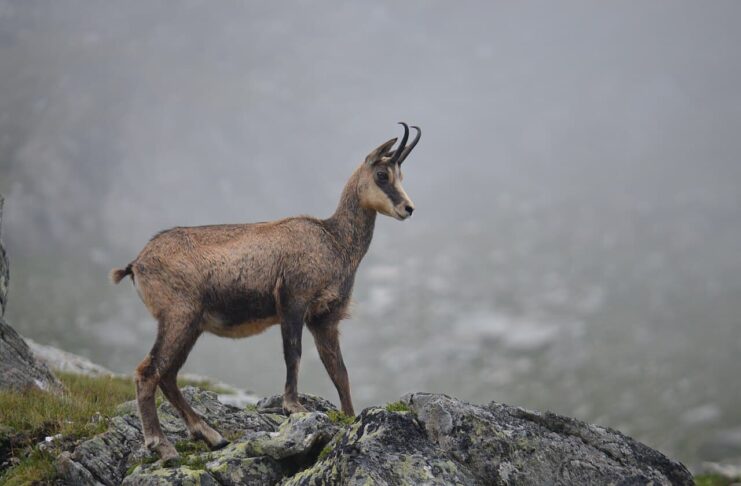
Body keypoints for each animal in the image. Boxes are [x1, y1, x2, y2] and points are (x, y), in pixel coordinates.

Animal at [110, 123, 420, 461]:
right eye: (382, 174)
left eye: (401, 175)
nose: (408, 208)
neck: (333, 240)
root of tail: (137, 263)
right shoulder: (293, 300)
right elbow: (293, 352)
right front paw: (293, 406)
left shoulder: (324, 318)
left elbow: (339, 370)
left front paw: (351, 418)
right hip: (179, 316)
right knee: (148, 371)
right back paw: (163, 445)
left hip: (190, 325)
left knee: (167, 375)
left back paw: (211, 436)